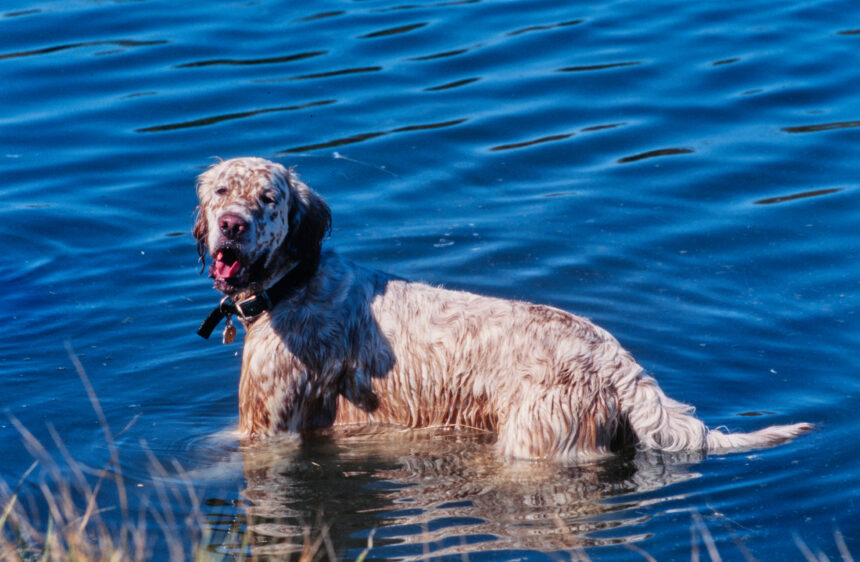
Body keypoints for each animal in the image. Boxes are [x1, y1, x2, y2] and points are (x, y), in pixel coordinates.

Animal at [195, 156, 812, 460]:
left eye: (268, 198)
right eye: (222, 191)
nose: (232, 225)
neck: (296, 283)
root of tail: (616, 361)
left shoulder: (269, 431)